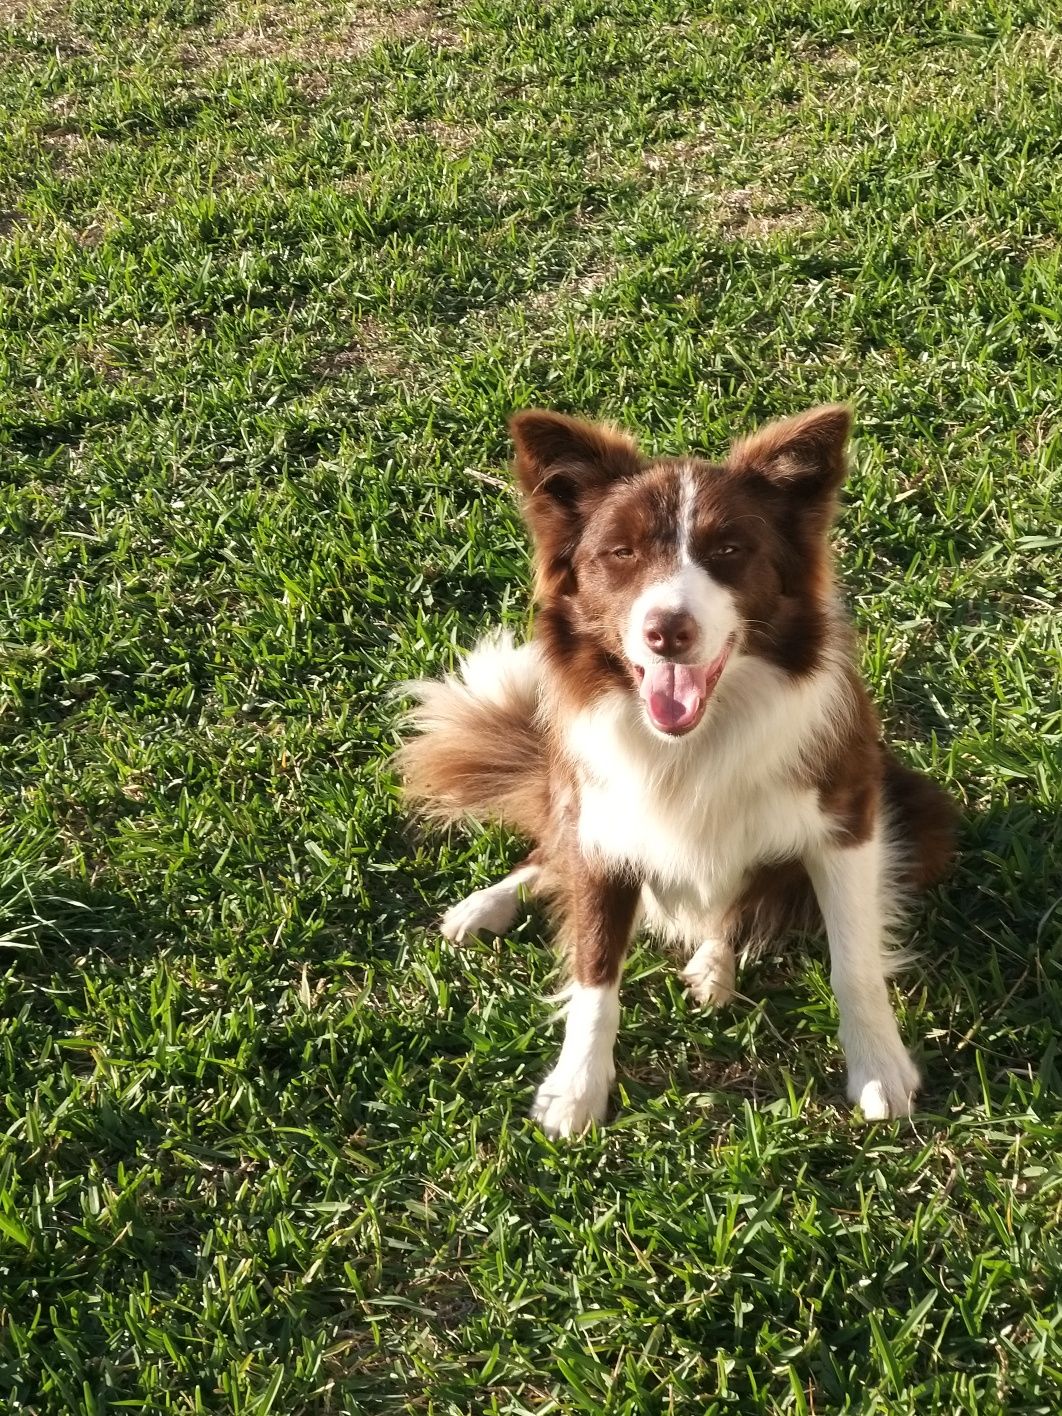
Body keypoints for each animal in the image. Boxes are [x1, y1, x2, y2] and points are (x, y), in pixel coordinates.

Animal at [396, 404, 957, 1132]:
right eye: (622, 554)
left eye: (729, 552)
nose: (666, 630)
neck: (690, 743)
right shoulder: (602, 828)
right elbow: (594, 970)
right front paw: (576, 1089)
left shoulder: (848, 817)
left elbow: (854, 959)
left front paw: (879, 1068)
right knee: (551, 852)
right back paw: (486, 903)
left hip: (922, 813)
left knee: (737, 908)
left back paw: (713, 965)